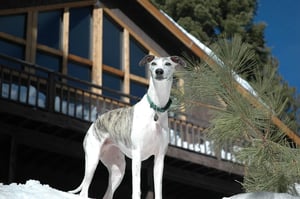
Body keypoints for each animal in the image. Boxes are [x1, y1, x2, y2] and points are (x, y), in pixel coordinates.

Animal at [69, 55, 185, 198]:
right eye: (153, 63)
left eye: (168, 64)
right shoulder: (137, 154)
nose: (159, 71)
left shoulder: (159, 158)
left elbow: (158, 190)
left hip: (118, 170)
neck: (156, 107)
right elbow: (136, 188)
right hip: (92, 160)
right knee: (84, 190)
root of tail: (95, 122)